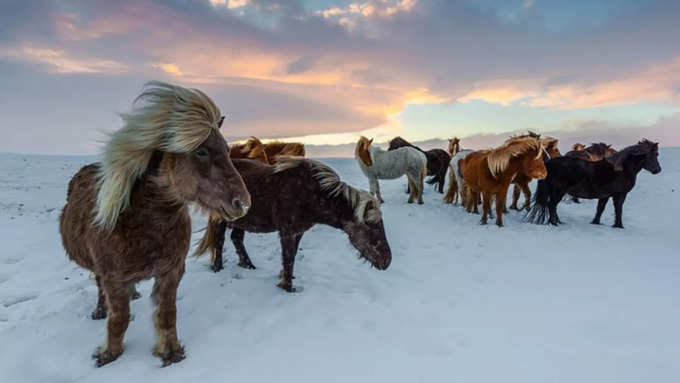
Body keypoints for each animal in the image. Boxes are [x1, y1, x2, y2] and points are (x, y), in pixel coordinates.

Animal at [59, 82, 251, 368]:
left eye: (228, 150)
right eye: (202, 151)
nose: (243, 203)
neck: (145, 226)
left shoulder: (171, 272)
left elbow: (166, 314)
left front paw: (170, 352)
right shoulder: (113, 278)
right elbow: (119, 319)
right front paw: (109, 354)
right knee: (99, 286)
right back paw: (100, 309)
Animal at [195, 158, 394, 292]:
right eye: (373, 226)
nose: (387, 261)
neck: (311, 194)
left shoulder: (298, 232)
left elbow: (291, 257)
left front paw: (286, 278)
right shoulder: (288, 232)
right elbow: (289, 257)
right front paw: (287, 287)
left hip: (242, 221)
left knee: (236, 239)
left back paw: (249, 266)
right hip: (221, 220)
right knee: (219, 241)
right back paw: (218, 268)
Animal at [524, 142, 660, 230]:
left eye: (657, 154)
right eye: (653, 155)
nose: (658, 170)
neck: (621, 169)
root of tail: (548, 163)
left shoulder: (605, 195)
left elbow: (600, 209)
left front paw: (596, 222)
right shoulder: (620, 195)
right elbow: (618, 209)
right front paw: (619, 226)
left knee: (552, 206)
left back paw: (558, 221)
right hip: (559, 191)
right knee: (551, 205)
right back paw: (554, 223)